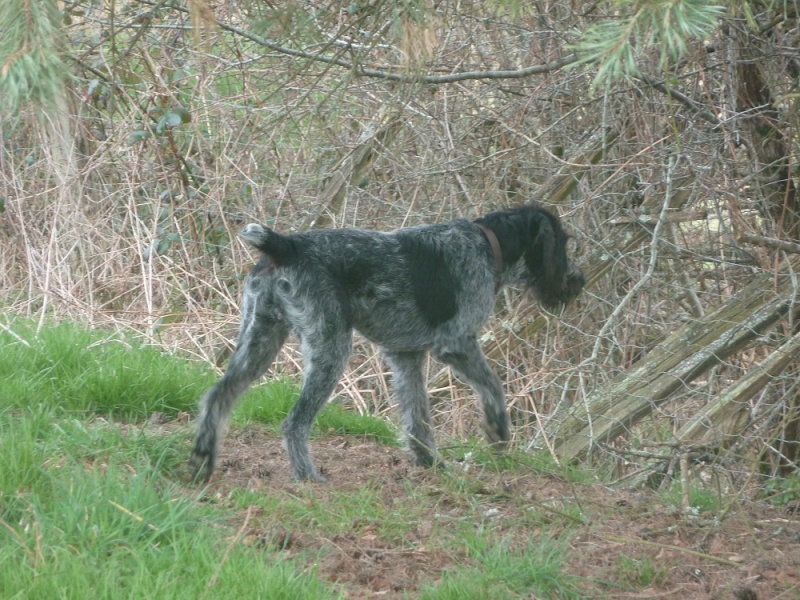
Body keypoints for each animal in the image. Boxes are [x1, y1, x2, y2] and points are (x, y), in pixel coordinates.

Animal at [191, 205, 584, 482]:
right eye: (562, 244)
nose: (578, 280)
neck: (489, 245)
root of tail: (286, 245)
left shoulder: (406, 355)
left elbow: (417, 417)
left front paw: (430, 464)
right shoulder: (457, 344)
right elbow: (493, 387)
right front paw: (498, 431)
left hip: (259, 342)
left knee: (217, 397)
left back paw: (203, 459)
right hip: (330, 350)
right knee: (294, 423)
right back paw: (306, 478)